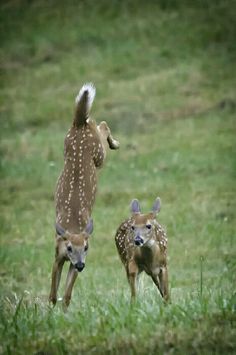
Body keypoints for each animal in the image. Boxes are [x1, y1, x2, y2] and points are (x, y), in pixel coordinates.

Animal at [49, 82, 120, 308]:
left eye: (87, 247)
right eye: (70, 248)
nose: (81, 265)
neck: (71, 227)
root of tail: (79, 123)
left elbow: (67, 294)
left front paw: (63, 308)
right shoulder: (57, 254)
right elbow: (53, 293)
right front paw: (52, 307)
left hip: (85, 148)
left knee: (99, 123)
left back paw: (116, 143)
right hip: (94, 152)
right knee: (99, 123)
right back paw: (115, 143)